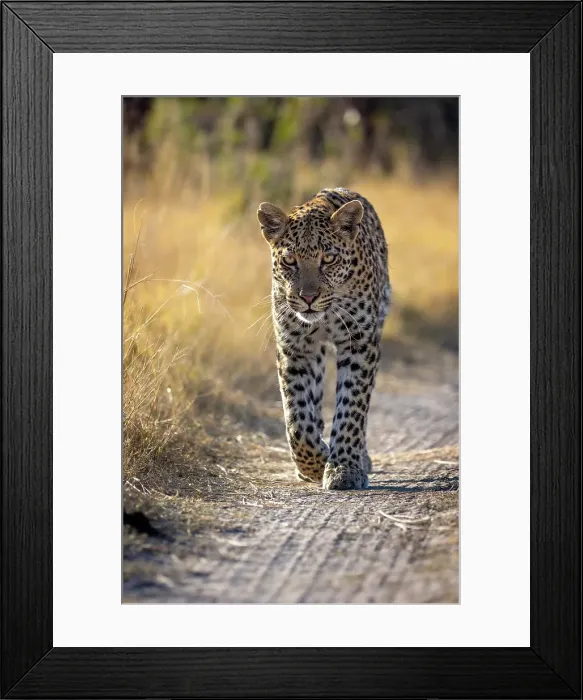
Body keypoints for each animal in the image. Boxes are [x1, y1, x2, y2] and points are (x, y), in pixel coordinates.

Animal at [257, 187, 391, 491]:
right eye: (289, 260)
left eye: (328, 259)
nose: (308, 298)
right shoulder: (295, 347)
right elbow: (297, 418)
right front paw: (316, 464)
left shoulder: (359, 343)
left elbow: (352, 408)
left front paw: (344, 468)